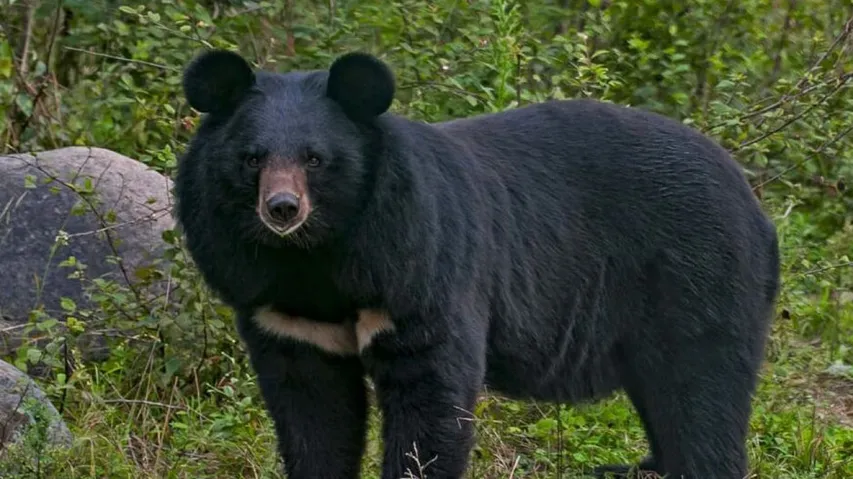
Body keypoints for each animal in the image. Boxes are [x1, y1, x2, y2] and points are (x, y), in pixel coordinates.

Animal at [174, 48, 781, 479]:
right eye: (252, 158)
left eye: (315, 159)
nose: (282, 209)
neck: (316, 257)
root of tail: (756, 206)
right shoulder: (278, 306)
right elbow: (312, 410)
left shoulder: (417, 266)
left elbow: (431, 396)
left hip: (697, 277)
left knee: (701, 390)